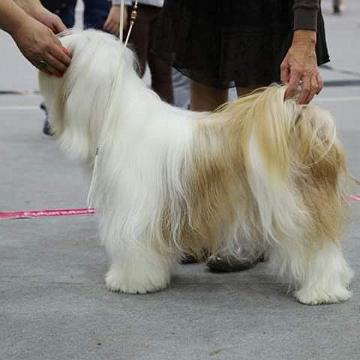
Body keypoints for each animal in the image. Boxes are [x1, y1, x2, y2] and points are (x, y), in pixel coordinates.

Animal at [38, 30, 352, 304]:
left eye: (70, 51)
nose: (51, 46)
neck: (117, 113)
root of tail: (303, 124)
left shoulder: (135, 210)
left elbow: (134, 246)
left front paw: (130, 281)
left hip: (298, 211)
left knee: (319, 251)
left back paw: (320, 293)